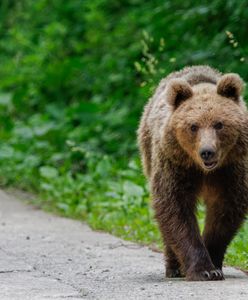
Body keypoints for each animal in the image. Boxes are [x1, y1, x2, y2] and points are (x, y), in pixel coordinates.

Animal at [138, 65, 248, 282]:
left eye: (219, 124)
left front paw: (215, 266)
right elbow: (175, 209)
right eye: (193, 126)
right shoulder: (176, 165)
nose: (207, 152)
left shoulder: (231, 170)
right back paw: (174, 268)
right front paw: (203, 269)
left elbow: (225, 212)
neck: (204, 171)